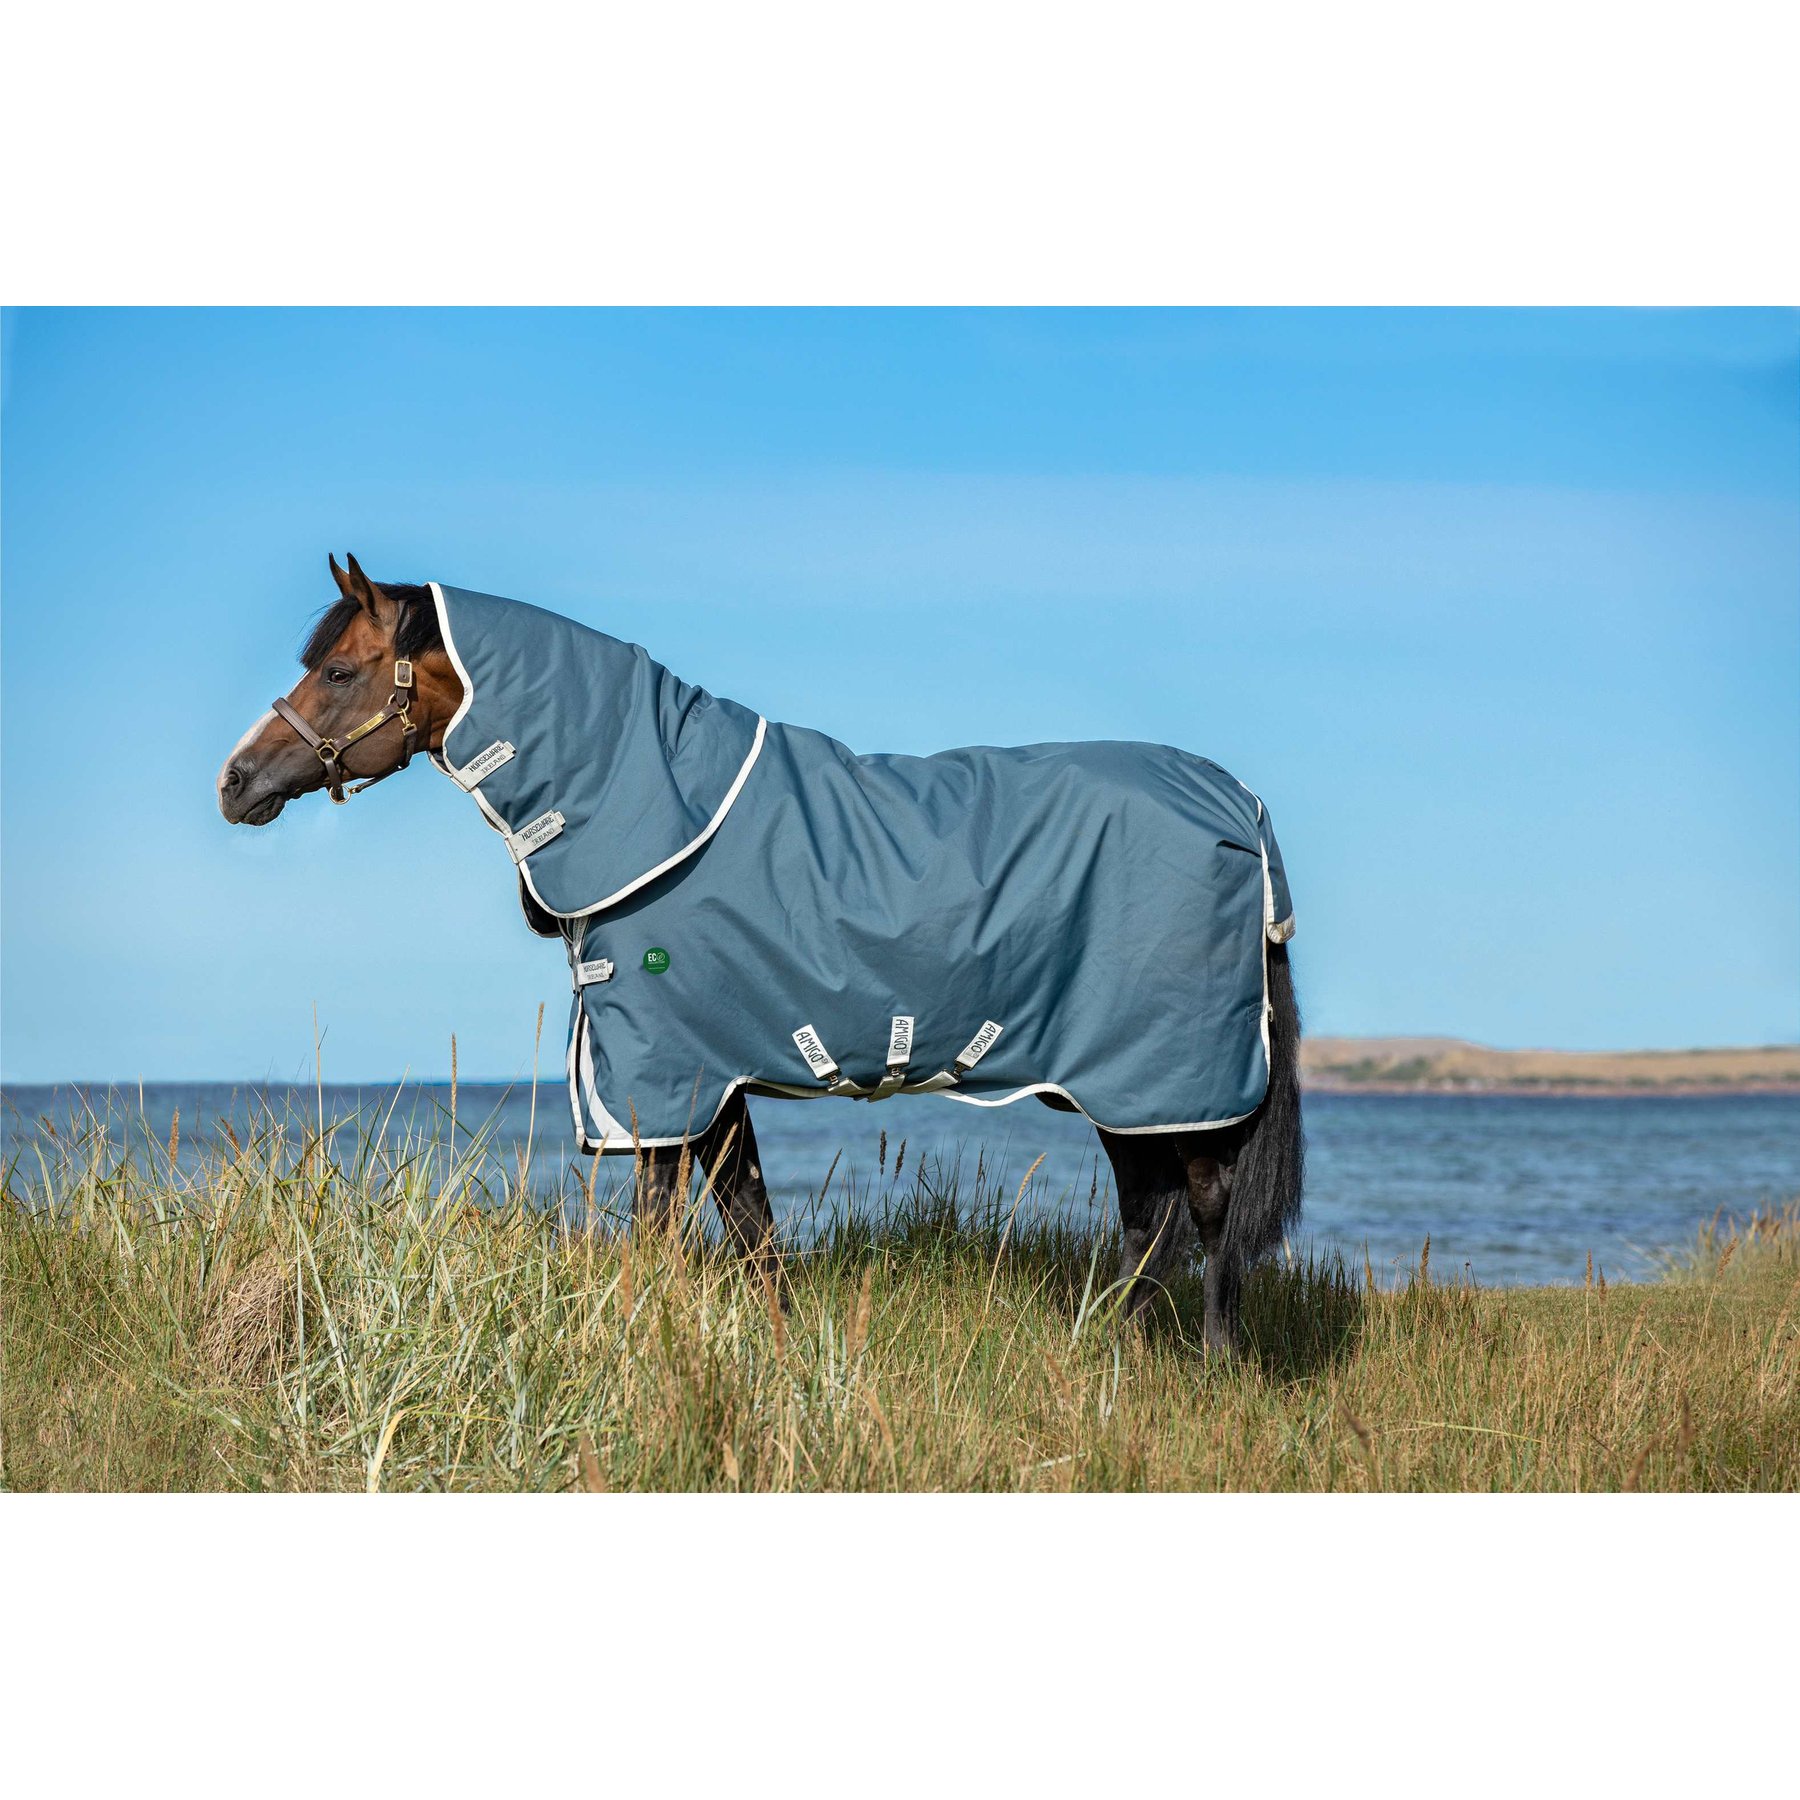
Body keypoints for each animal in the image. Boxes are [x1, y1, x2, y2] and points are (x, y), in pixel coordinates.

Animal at [218, 554, 1303, 1351]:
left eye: (340, 670)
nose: (235, 781)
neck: (653, 812)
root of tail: (1235, 800)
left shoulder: (666, 1076)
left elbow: (664, 1230)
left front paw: (637, 1350)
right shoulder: (714, 1078)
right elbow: (752, 1228)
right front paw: (778, 1358)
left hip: (1165, 1074)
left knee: (1205, 1206)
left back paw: (1210, 1361)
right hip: (1124, 1087)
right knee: (1150, 1213)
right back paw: (1107, 1351)